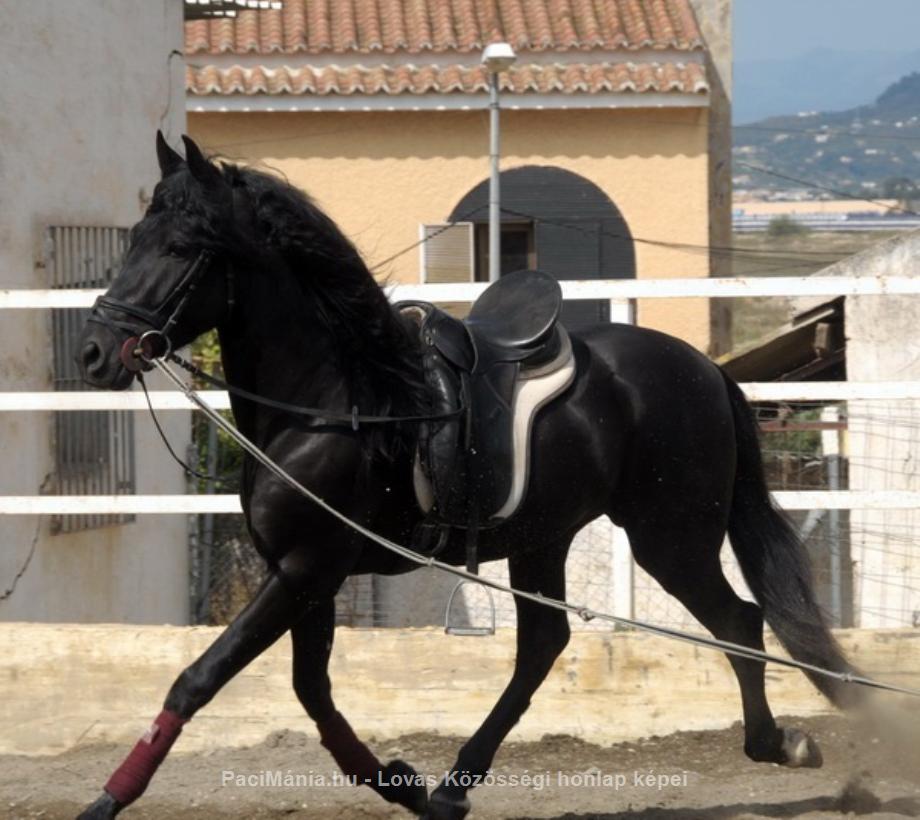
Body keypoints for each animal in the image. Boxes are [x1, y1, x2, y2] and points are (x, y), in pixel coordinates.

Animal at [75, 131, 860, 816]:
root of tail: (704, 370)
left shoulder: (303, 568)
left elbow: (198, 680)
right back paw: (453, 787)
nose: (93, 353)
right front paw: (402, 784)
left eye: (184, 248)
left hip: (670, 538)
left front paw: (105, 801)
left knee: (738, 621)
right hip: (547, 536)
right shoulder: (307, 576)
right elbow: (313, 694)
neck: (337, 399)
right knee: (544, 646)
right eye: (135, 240)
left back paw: (779, 744)